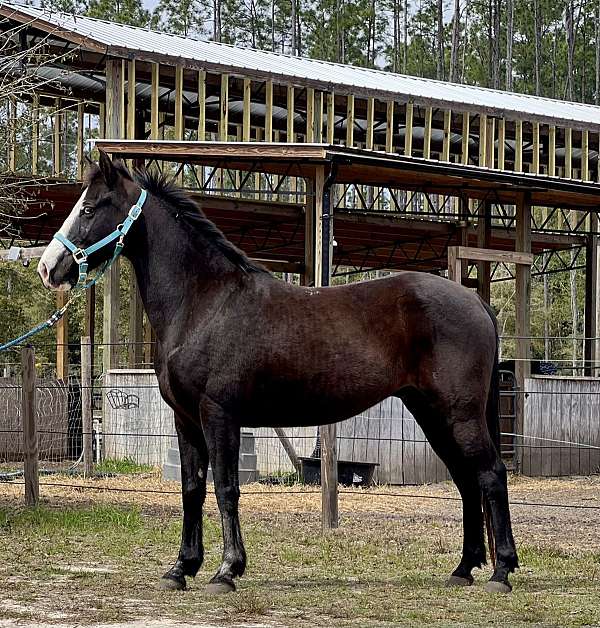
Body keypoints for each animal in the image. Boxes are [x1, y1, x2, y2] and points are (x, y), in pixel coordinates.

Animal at [38, 152, 516, 592]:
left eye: (89, 208)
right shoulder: (185, 419)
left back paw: (501, 572)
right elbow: (192, 489)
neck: (204, 302)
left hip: (459, 414)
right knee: (466, 481)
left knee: (491, 473)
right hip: (433, 414)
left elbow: (226, 488)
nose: (48, 267)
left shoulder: (219, 414)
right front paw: (181, 569)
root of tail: (476, 301)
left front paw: (226, 571)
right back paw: (463, 569)